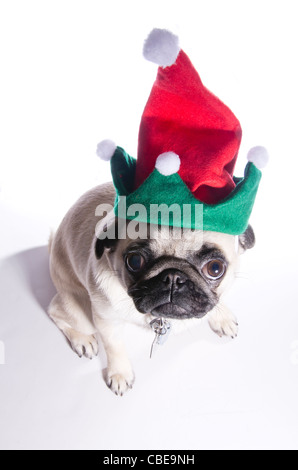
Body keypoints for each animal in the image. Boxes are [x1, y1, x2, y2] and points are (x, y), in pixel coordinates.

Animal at [48, 182, 254, 394]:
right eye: (134, 261)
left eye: (215, 268)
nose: (173, 277)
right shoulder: (106, 320)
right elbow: (114, 347)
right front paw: (120, 373)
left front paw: (221, 317)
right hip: (80, 313)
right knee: (55, 312)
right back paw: (83, 340)